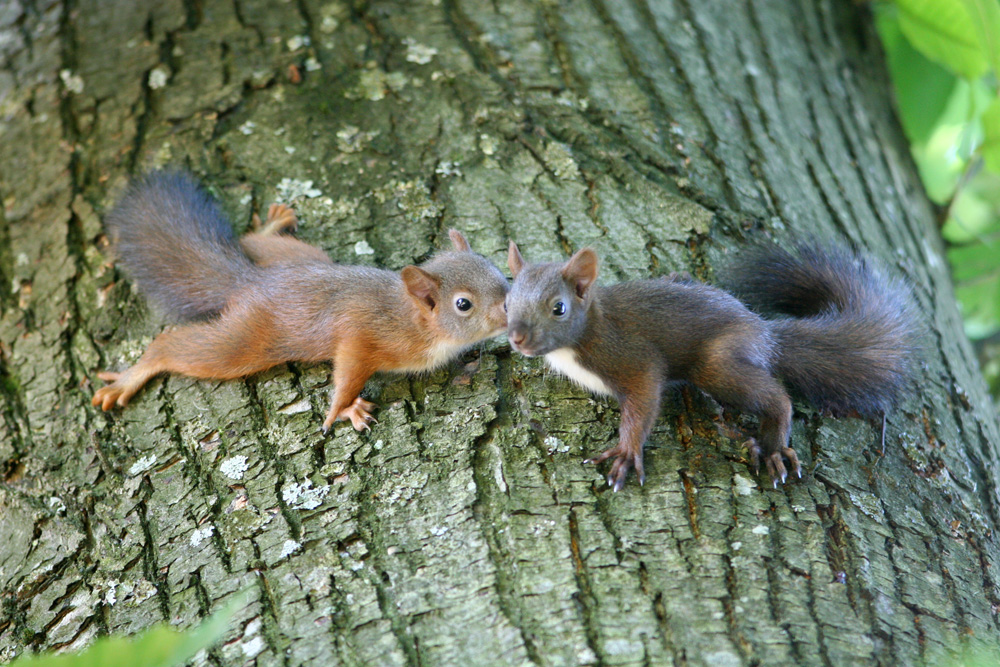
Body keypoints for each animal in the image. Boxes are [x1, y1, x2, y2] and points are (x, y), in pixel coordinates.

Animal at [92, 172, 508, 434]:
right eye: (463, 304)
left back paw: (271, 225)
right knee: (177, 348)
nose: (511, 307)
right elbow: (348, 371)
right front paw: (342, 410)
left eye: (497, 270)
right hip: (246, 339)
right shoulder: (363, 334)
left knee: (255, 242)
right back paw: (132, 376)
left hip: (299, 254)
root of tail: (250, 280)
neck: (413, 318)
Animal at [504, 243, 916, 488]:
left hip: (718, 363)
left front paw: (625, 453)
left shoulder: (629, 356)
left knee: (778, 397)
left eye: (558, 308)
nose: (517, 338)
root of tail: (764, 330)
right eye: (506, 302)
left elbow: (643, 398)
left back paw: (774, 447)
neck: (587, 327)